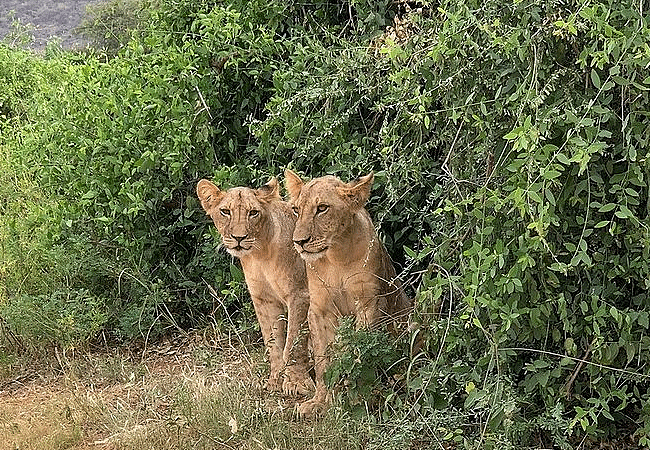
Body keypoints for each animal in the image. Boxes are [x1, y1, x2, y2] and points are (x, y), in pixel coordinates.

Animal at [197, 178, 314, 396]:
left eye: (253, 213)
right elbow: (273, 342)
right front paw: (276, 380)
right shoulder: (265, 299)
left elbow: (293, 341)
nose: (239, 238)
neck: (259, 255)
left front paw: (296, 383)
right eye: (225, 211)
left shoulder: (300, 293)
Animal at [284, 171, 410, 416]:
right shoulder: (319, 309)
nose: (299, 242)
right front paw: (320, 402)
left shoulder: (369, 304)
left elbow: (357, 354)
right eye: (296, 210)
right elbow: (323, 362)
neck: (336, 257)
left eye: (322, 208)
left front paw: (355, 400)